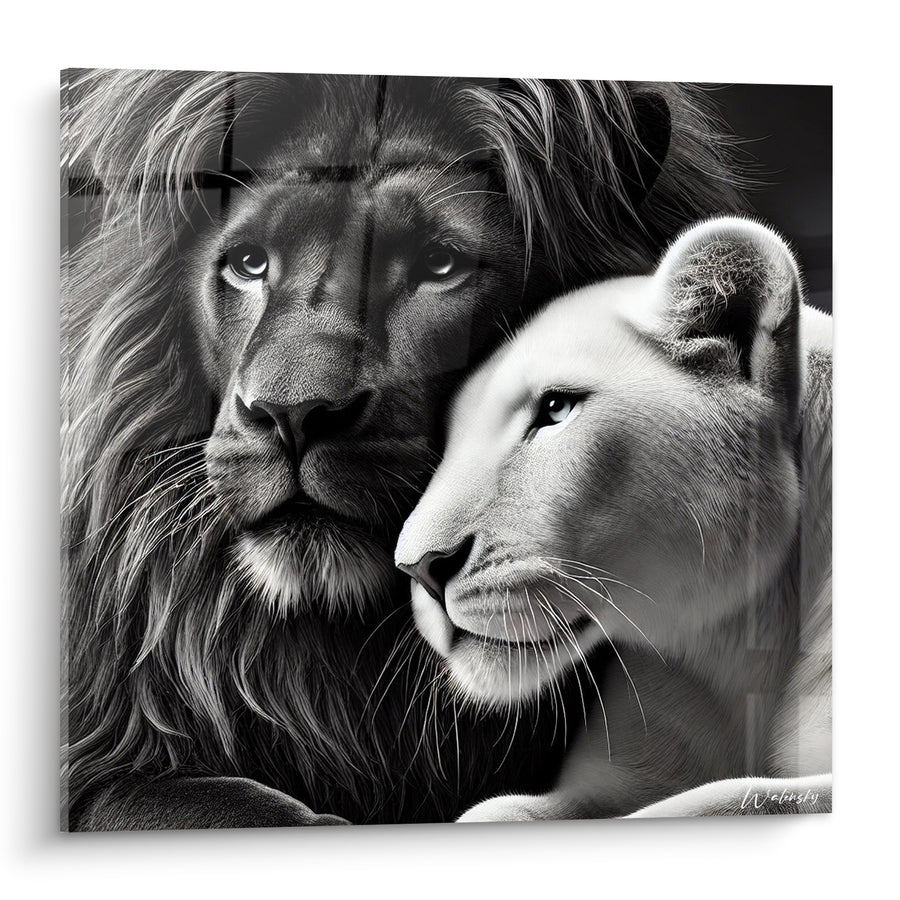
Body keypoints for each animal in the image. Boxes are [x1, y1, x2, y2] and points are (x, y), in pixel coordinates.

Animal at [395, 217, 831, 820]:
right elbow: (501, 810)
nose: (418, 567)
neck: (740, 643)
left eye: (556, 409)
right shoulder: (624, 771)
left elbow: (732, 799)